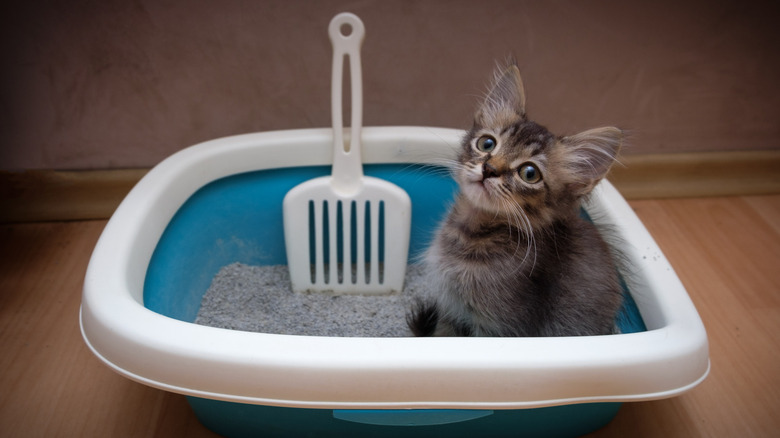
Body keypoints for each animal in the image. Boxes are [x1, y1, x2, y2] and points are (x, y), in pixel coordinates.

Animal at [408, 61, 620, 338]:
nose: (489, 169)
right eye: (487, 144)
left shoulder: (501, 327)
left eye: (530, 173)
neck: (469, 234)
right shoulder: (448, 308)